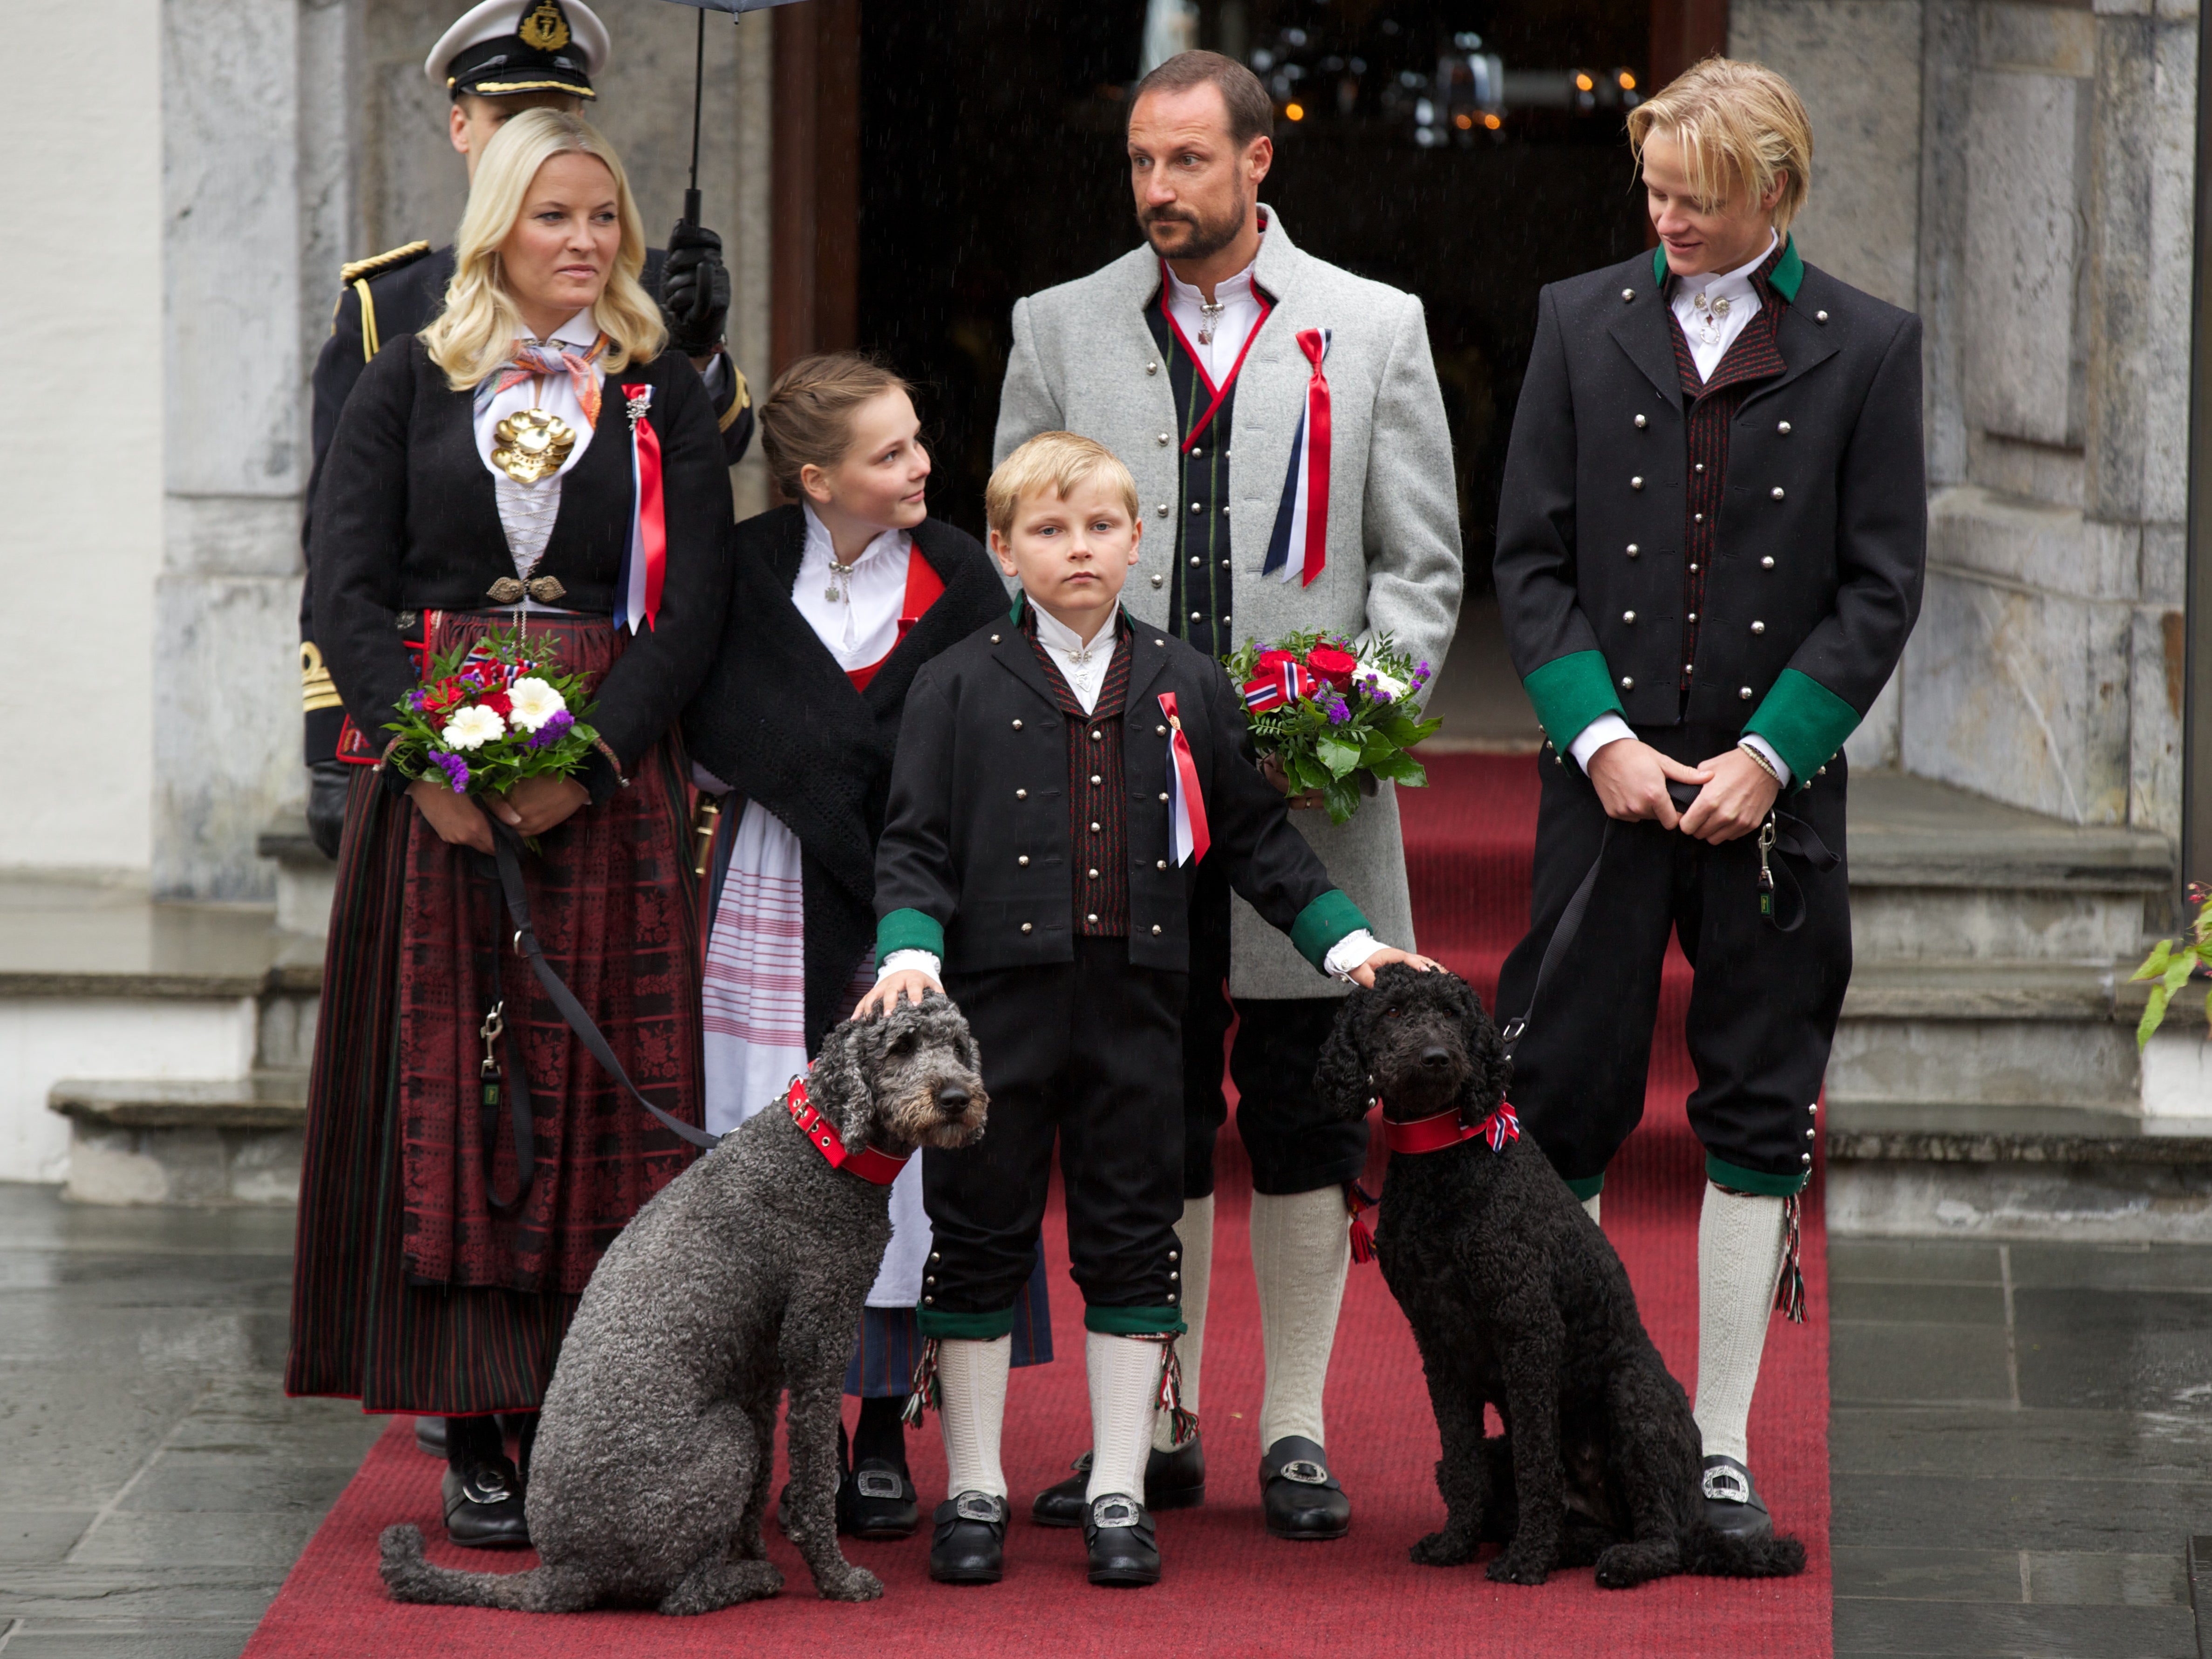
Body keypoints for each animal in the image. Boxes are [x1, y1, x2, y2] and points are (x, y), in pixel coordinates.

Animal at [378, 995, 987, 1619]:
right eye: (903, 1046)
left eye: (957, 1046)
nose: (957, 1097)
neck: (821, 1148)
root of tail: (564, 1570)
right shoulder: (818, 1344)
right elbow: (815, 1479)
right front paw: (835, 1578)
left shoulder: (759, 1377)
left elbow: (762, 1486)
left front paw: (753, 1548)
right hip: (724, 1438)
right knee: (678, 1598)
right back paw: (748, 1580)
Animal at [1309, 973, 1796, 1601]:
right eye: (1392, 1011)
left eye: (1452, 1014)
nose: (1436, 1057)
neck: (1445, 1165)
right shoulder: (1437, 1344)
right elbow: (1462, 1460)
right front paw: (1454, 1544)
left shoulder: (1528, 1327)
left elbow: (1537, 1464)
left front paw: (1526, 1561)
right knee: (1553, 1513)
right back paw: (1565, 1546)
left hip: (1634, 1397)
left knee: (1666, 1541)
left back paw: (1620, 1559)